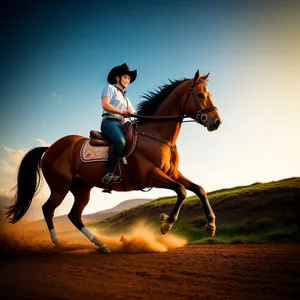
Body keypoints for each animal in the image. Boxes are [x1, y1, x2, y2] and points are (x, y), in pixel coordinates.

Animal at [5, 70, 223, 253]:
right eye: (201, 95)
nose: (216, 122)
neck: (156, 135)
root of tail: (50, 148)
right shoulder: (151, 175)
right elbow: (182, 190)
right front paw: (166, 223)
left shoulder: (171, 173)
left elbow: (199, 189)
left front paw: (211, 225)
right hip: (60, 186)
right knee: (48, 209)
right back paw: (58, 243)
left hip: (82, 188)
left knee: (74, 216)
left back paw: (101, 245)